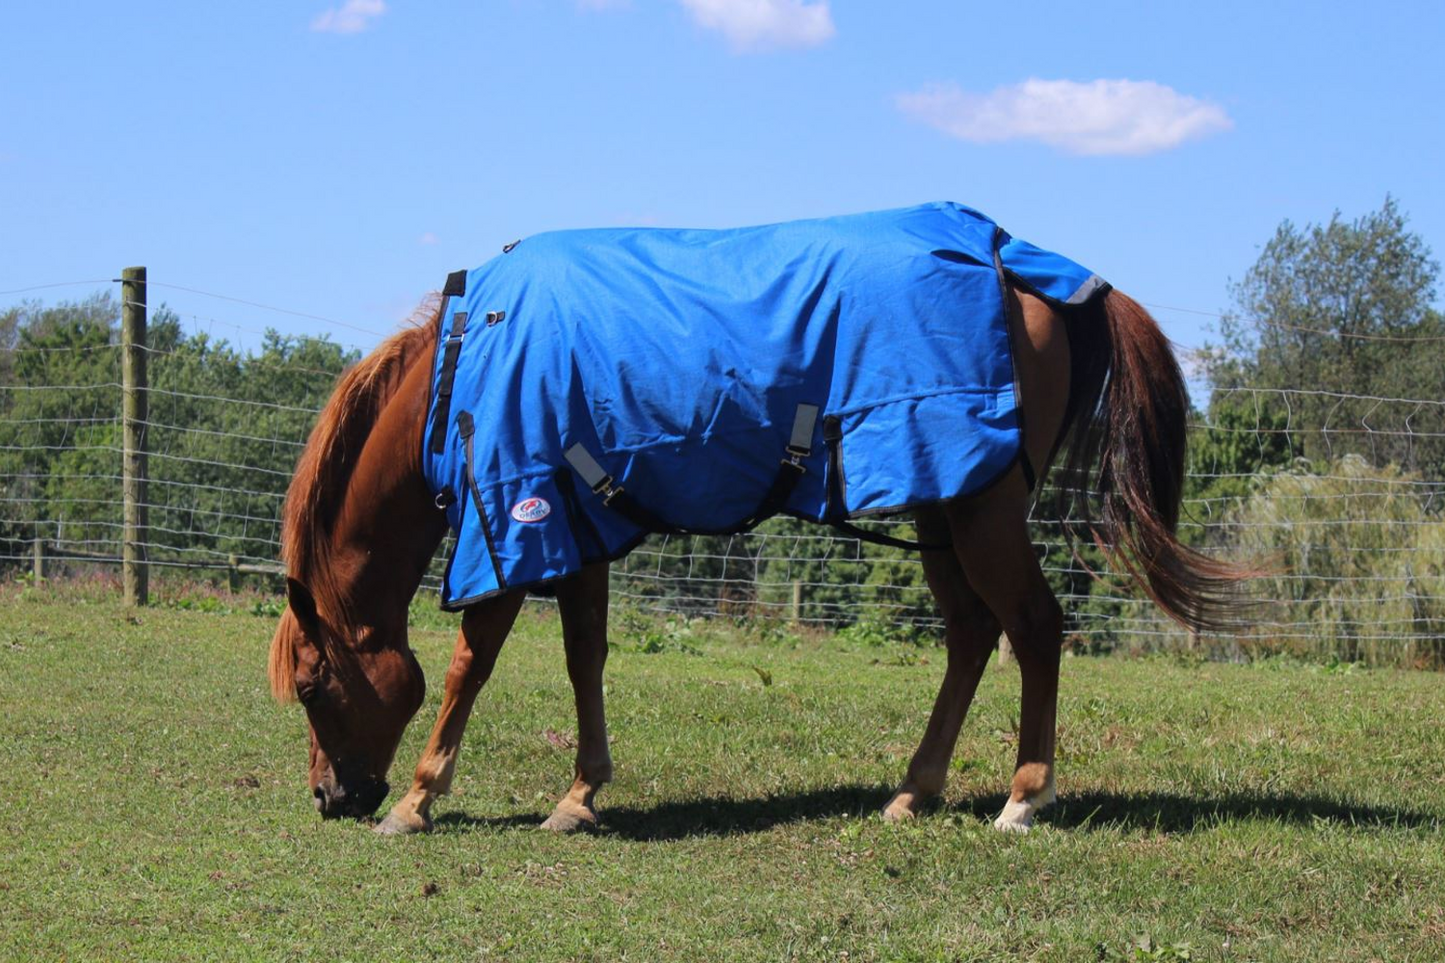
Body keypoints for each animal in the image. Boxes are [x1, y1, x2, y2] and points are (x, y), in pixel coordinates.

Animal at [267, 206, 1248, 835]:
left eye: (313, 686)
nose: (327, 797)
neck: (468, 361)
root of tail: (1018, 261)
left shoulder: (517, 515)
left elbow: (470, 662)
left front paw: (417, 799)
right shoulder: (577, 529)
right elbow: (584, 657)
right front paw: (580, 794)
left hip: (981, 508)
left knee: (1036, 629)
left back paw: (1023, 796)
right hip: (939, 500)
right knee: (973, 636)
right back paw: (914, 789)